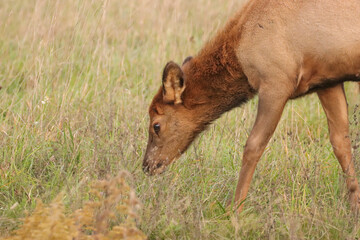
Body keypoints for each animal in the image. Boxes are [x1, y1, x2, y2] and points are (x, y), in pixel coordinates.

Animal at [142, 0, 360, 211]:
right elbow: (341, 143)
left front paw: (235, 209)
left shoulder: (276, 83)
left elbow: (253, 146)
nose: (147, 165)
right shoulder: (327, 81)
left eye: (156, 125)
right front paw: (354, 207)